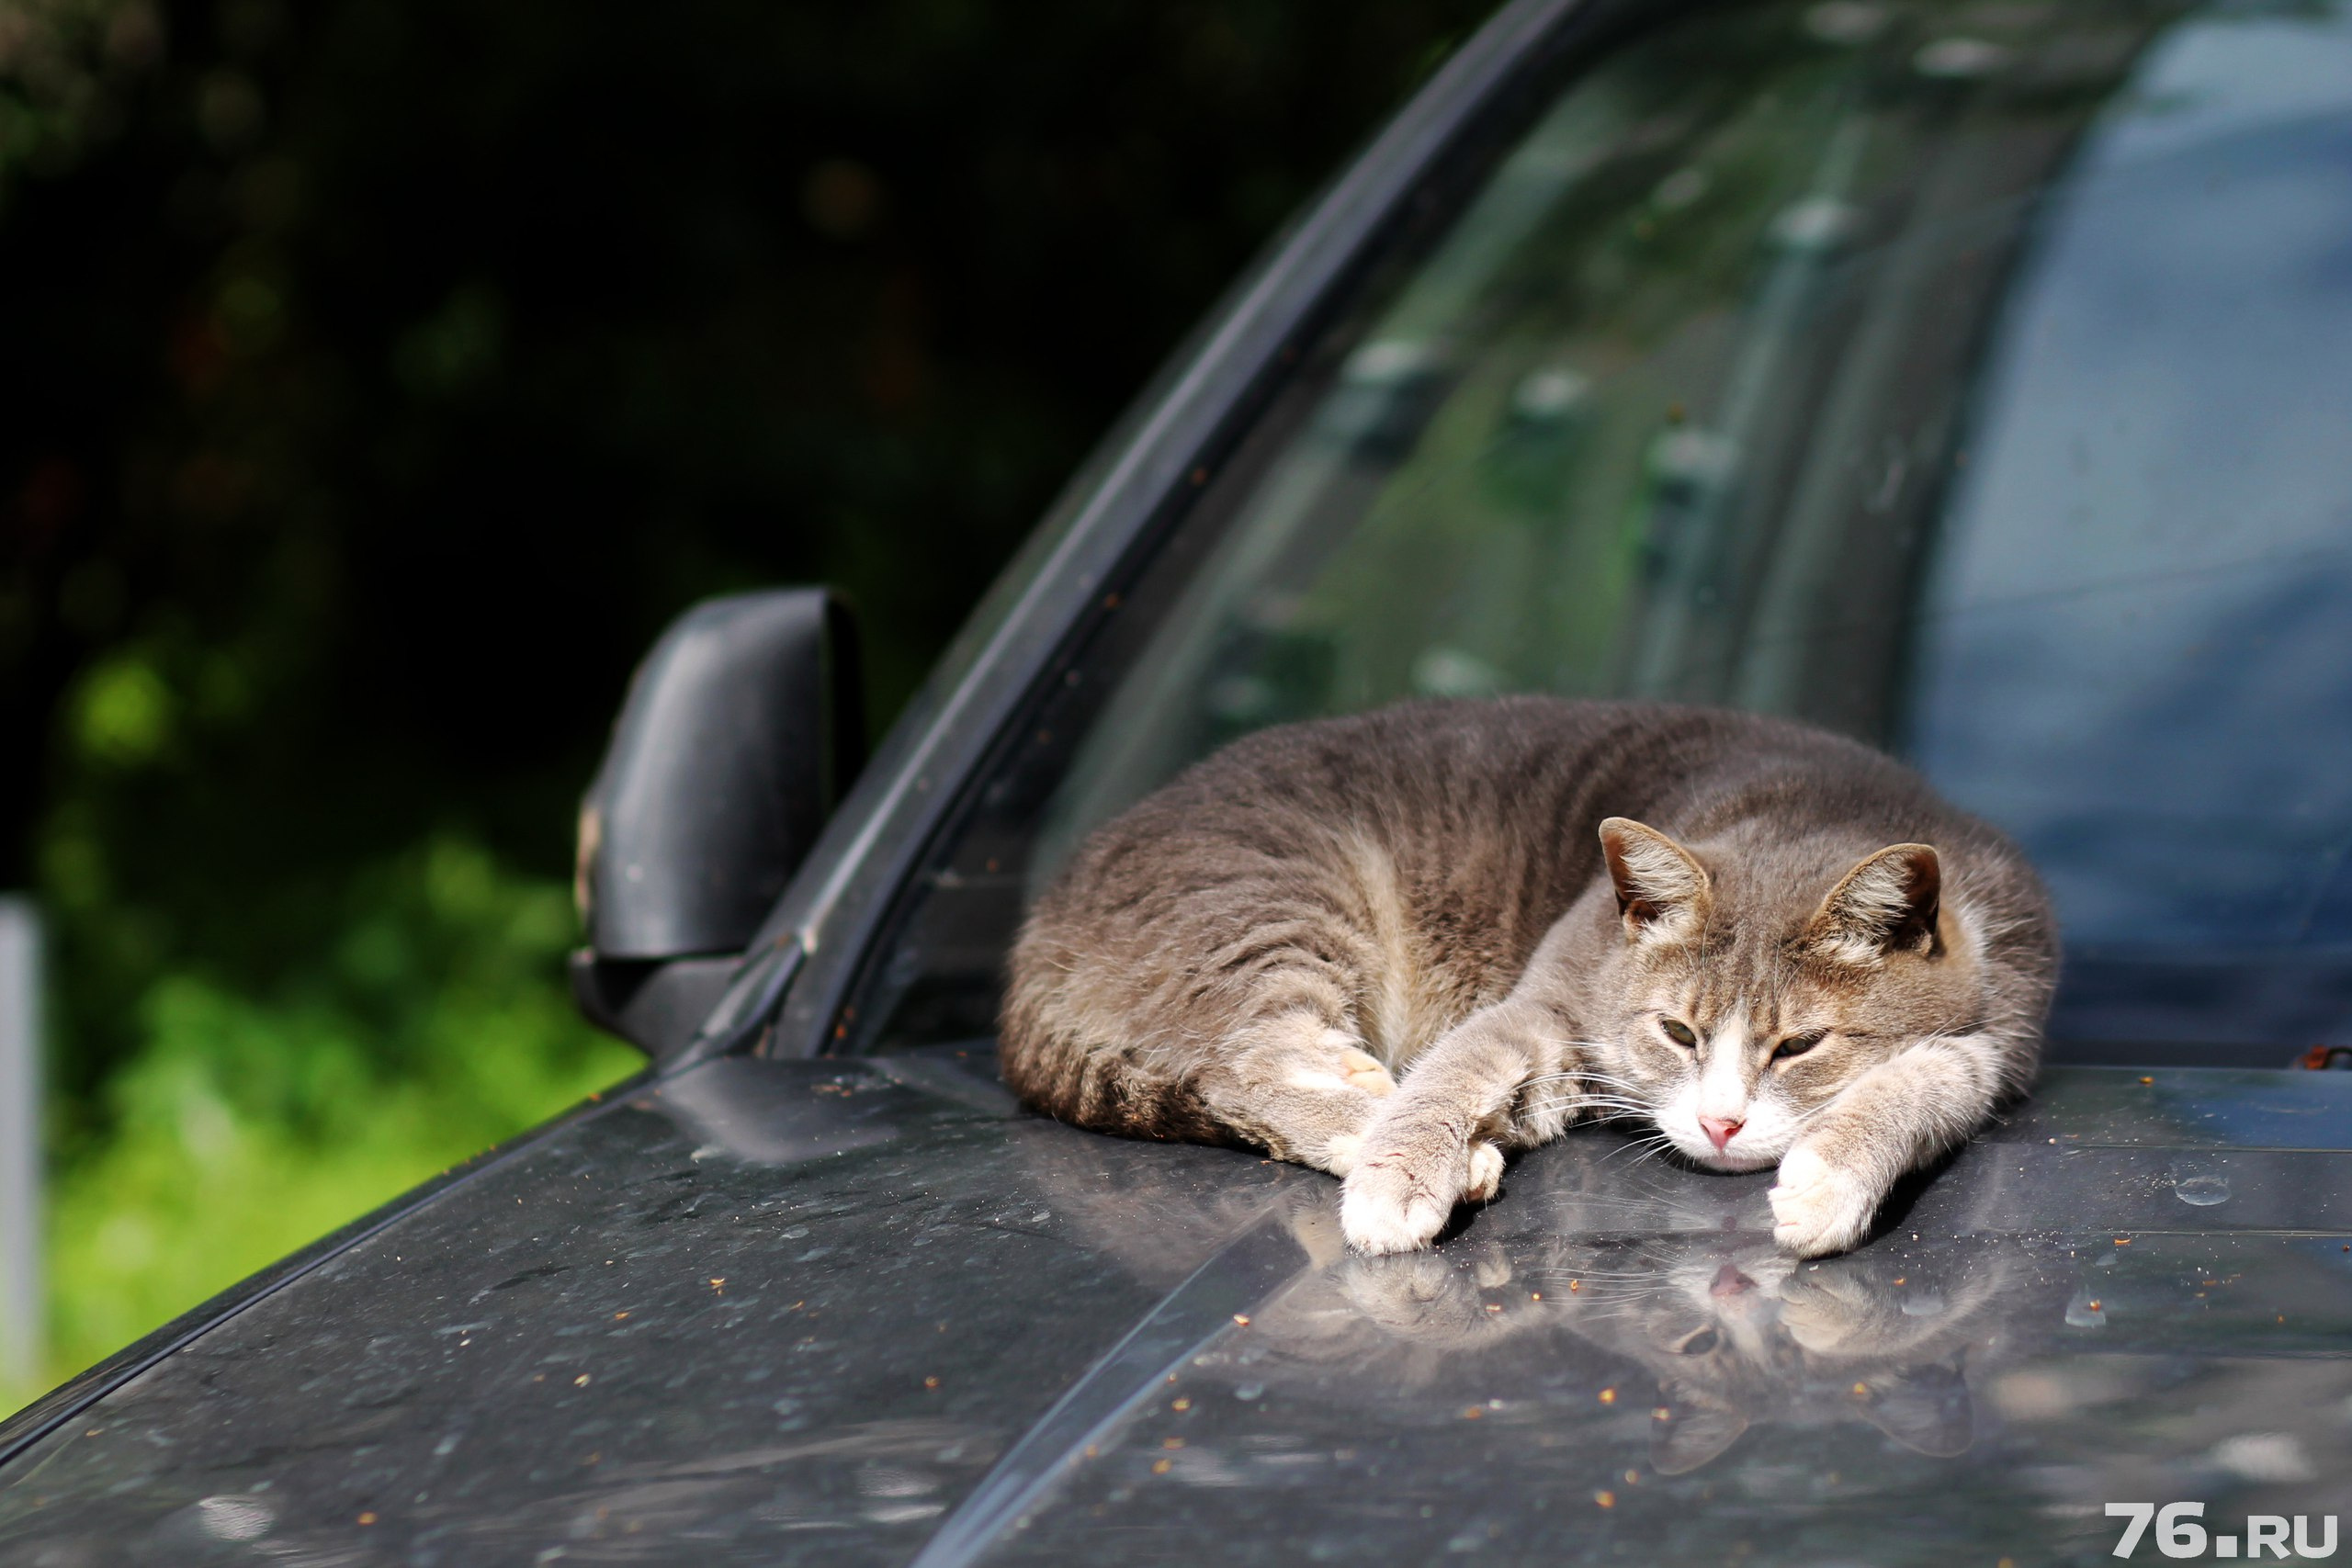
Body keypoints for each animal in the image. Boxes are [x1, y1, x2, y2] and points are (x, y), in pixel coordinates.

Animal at [997, 700, 2060, 1259]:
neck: (1810, 809)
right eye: (1677, 1032)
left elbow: (1925, 1084)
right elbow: (1455, 1069)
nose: (1720, 1124)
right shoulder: (1547, 995)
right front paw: (1400, 1173)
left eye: (1799, 1044)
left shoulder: (1994, 1041)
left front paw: (1827, 1180)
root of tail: (1036, 932)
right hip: (1268, 902)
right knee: (1249, 1063)